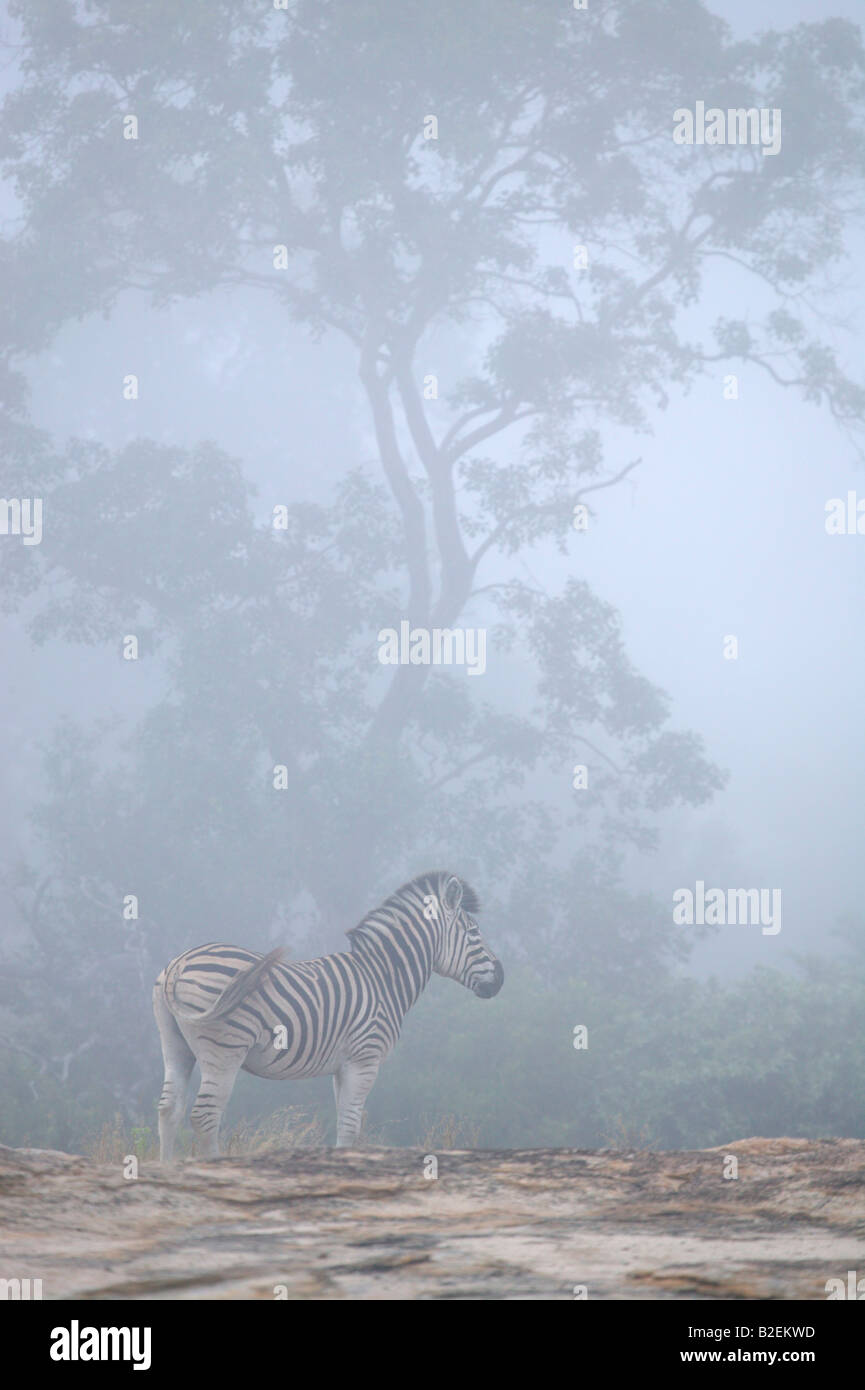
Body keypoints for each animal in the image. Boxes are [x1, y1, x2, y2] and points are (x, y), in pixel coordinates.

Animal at [153, 867, 506, 1162]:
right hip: (225, 1048)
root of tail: (179, 965)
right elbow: (350, 1125)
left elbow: (345, 1123)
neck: (382, 977)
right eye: (474, 932)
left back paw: (167, 1170)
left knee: (169, 1109)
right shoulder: (365, 1058)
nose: (502, 979)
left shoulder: (342, 1065)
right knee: (204, 1116)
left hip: (175, 1044)